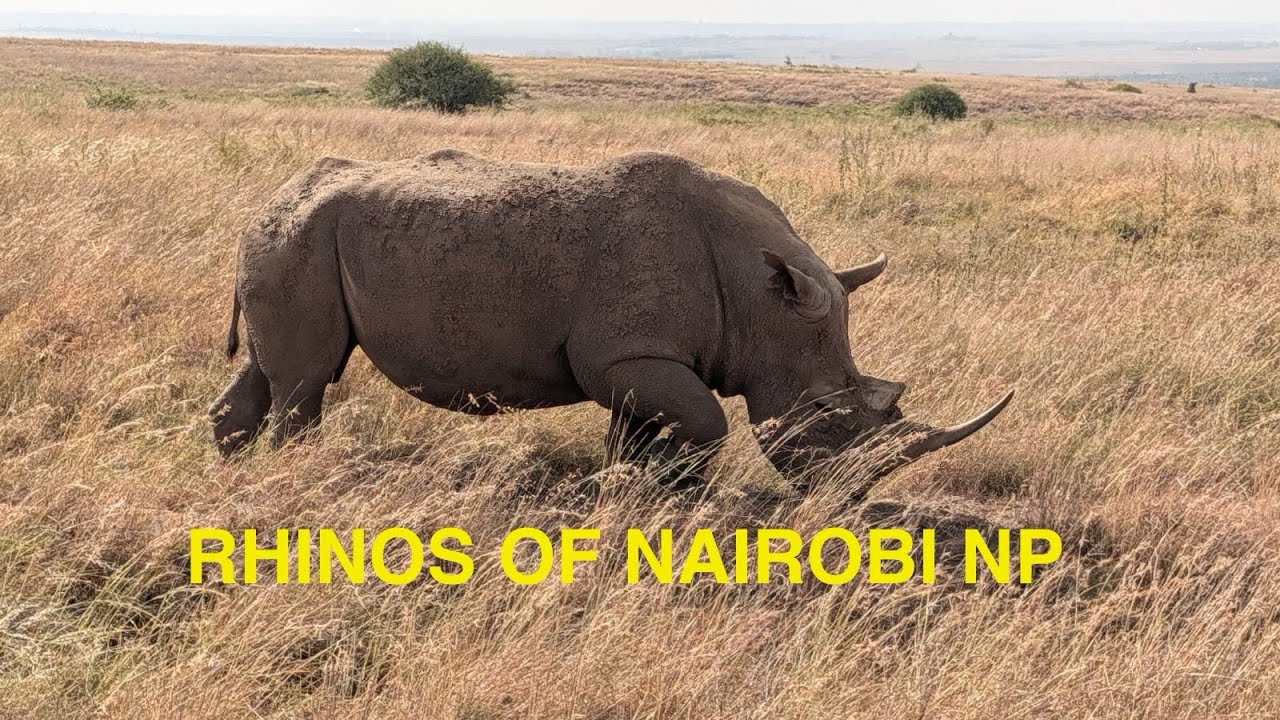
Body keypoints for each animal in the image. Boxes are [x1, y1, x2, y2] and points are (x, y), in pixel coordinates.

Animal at [211, 150, 1011, 491]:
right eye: (823, 413)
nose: (847, 501)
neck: (760, 299)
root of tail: (272, 196)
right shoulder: (626, 354)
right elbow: (707, 422)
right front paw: (671, 491)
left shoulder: (640, 359)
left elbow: (639, 431)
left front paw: (631, 493)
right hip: (298, 239)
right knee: (305, 381)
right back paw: (301, 483)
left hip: (288, 239)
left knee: (270, 372)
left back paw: (233, 476)